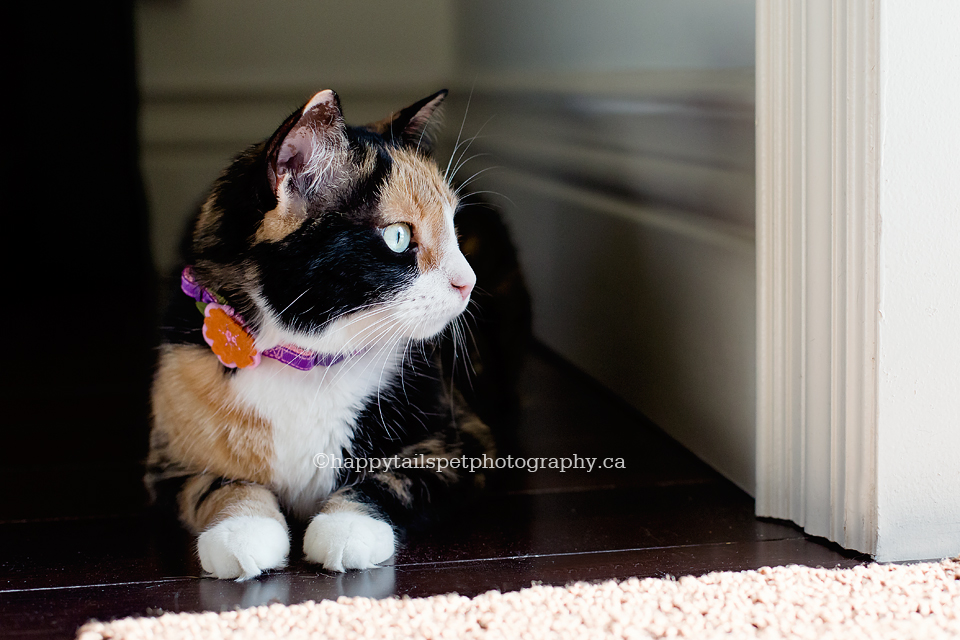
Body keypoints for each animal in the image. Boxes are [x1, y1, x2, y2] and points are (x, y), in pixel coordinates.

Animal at [142, 89, 524, 580]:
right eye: (398, 237)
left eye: (453, 224)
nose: (468, 282)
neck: (307, 362)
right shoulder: (167, 462)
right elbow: (216, 485)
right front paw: (242, 529)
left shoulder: (465, 444)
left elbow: (394, 480)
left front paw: (346, 528)